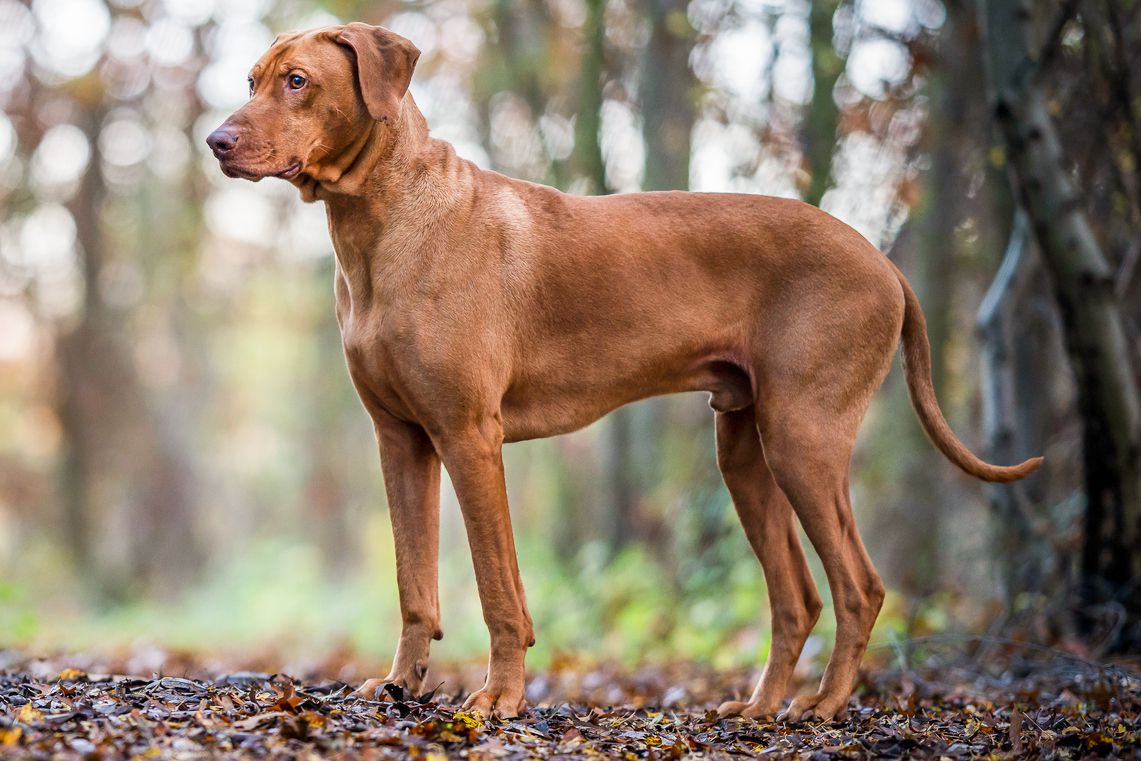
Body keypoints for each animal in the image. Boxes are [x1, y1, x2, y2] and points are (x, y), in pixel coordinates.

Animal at [207, 23, 1045, 725]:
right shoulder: (401, 439)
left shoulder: (469, 435)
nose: (215, 140)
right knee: (797, 597)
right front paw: (398, 685)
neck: (383, 224)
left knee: (858, 585)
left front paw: (498, 698)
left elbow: (498, 588)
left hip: (803, 436)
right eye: (250, 80)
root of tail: (882, 261)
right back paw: (758, 705)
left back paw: (822, 706)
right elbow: (415, 585)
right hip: (744, 448)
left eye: (297, 81)